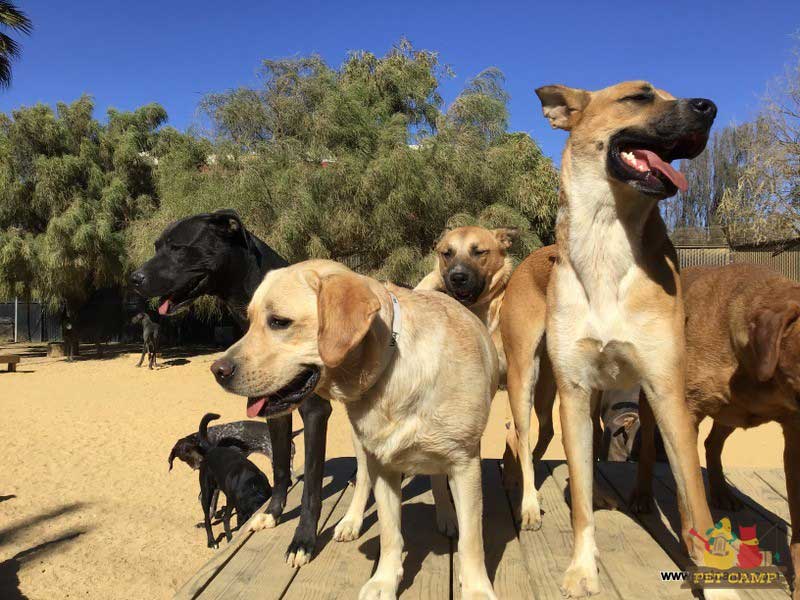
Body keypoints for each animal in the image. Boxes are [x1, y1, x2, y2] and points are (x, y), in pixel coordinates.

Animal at [198, 412, 274, 548]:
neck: (254, 487)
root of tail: (212, 449)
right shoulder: (236, 505)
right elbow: (227, 521)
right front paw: (230, 538)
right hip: (207, 493)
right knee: (208, 518)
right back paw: (212, 541)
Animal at [212, 260, 500, 600]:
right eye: (249, 321)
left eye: (279, 322)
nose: (217, 370)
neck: (392, 369)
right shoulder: (384, 465)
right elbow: (390, 533)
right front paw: (384, 580)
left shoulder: (465, 462)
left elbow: (472, 539)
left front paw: (477, 589)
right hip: (363, 445)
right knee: (363, 478)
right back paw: (350, 521)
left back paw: (445, 515)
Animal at [504, 81, 736, 600]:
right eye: (640, 96)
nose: (710, 107)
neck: (607, 240)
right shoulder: (572, 392)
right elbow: (579, 504)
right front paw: (581, 568)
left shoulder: (667, 391)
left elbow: (694, 501)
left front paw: (717, 583)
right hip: (525, 379)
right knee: (523, 438)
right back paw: (528, 504)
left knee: (633, 448)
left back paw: (637, 495)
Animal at [636, 264, 800, 600]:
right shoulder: (684, 413)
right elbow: (690, 497)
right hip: (653, 398)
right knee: (647, 446)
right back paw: (642, 495)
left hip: (730, 414)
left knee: (713, 443)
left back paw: (722, 491)